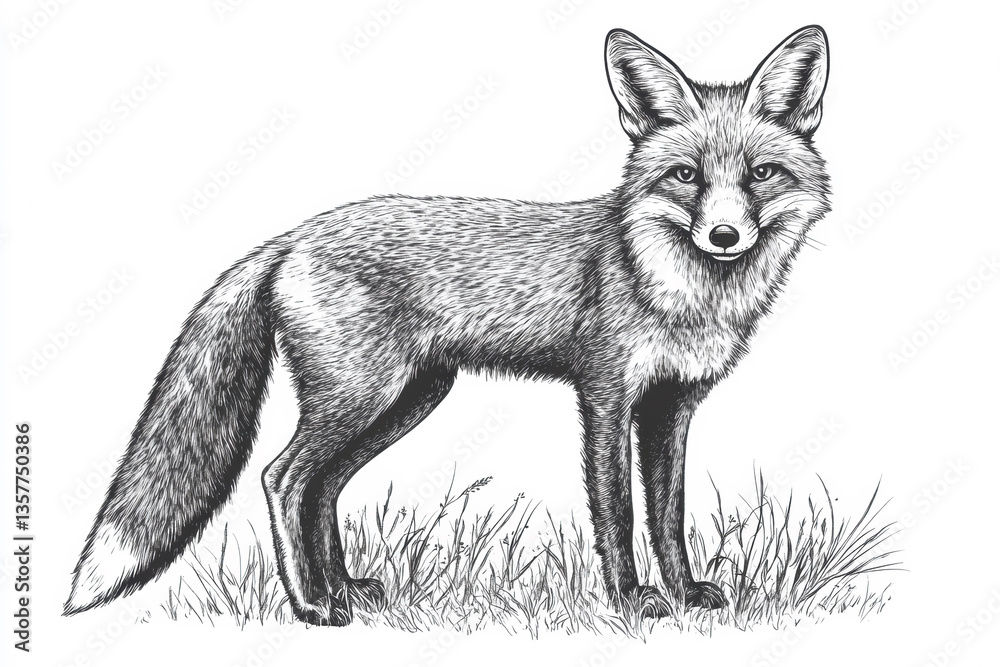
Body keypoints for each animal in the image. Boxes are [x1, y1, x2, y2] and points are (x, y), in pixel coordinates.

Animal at [66, 25, 831, 625]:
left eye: (761, 174)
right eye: (686, 176)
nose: (725, 235)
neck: (677, 290)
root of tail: (290, 237)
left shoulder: (672, 405)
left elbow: (667, 514)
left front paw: (685, 593)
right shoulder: (606, 396)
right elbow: (617, 513)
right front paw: (631, 603)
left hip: (408, 398)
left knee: (322, 487)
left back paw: (346, 589)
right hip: (360, 397)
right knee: (283, 477)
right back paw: (312, 607)